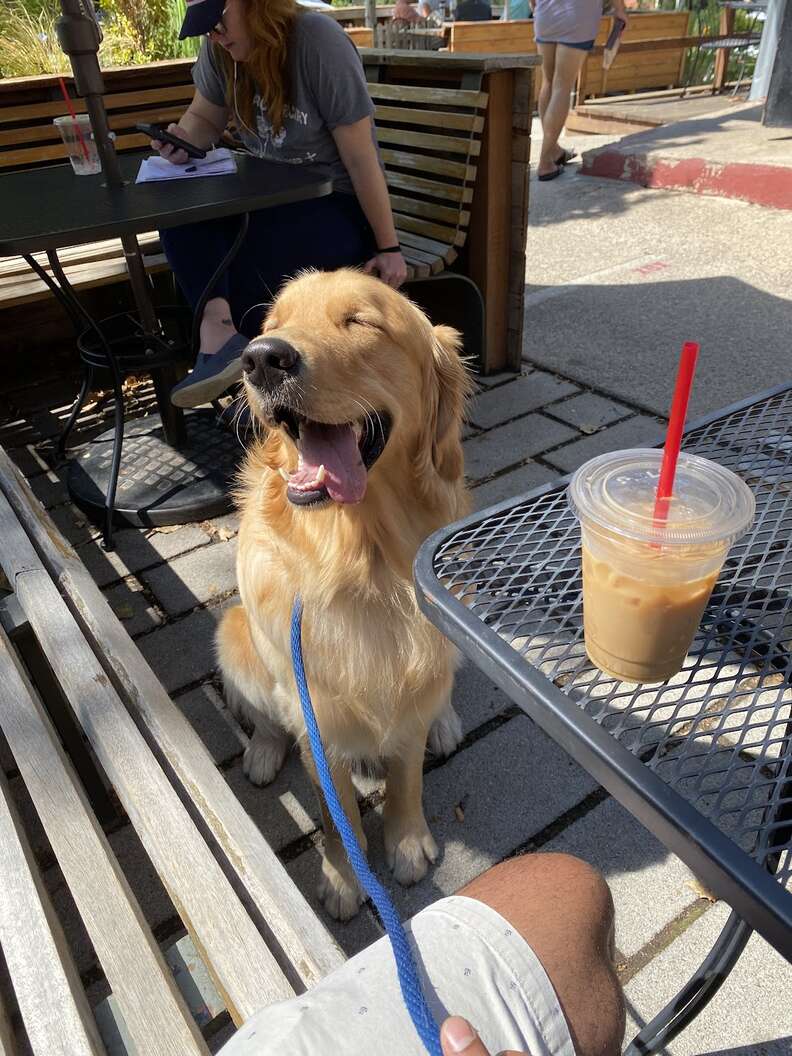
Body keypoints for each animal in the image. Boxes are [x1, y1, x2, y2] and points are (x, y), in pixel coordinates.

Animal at [215, 270, 470, 916]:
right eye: (271, 324)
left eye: (360, 321)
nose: (262, 358)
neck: (362, 562)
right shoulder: (315, 716)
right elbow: (339, 813)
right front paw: (341, 876)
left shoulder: (412, 688)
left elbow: (407, 777)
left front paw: (406, 843)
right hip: (231, 633)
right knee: (264, 714)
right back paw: (261, 751)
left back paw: (446, 723)